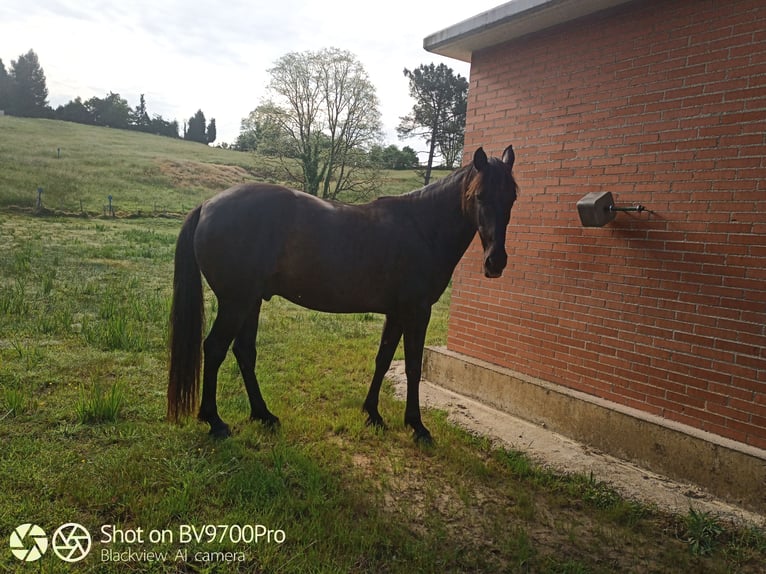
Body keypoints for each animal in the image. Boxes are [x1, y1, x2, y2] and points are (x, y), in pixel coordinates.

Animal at [169, 146, 520, 444]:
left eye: (512, 198)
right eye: (479, 196)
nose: (496, 262)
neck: (422, 228)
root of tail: (207, 206)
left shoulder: (397, 312)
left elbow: (383, 359)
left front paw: (373, 414)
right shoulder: (417, 312)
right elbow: (413, 367)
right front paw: (417, 426)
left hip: (250, 301)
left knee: (244, 352)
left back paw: (263, 415)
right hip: (236, 302)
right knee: (215, 349)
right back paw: (215, 421)